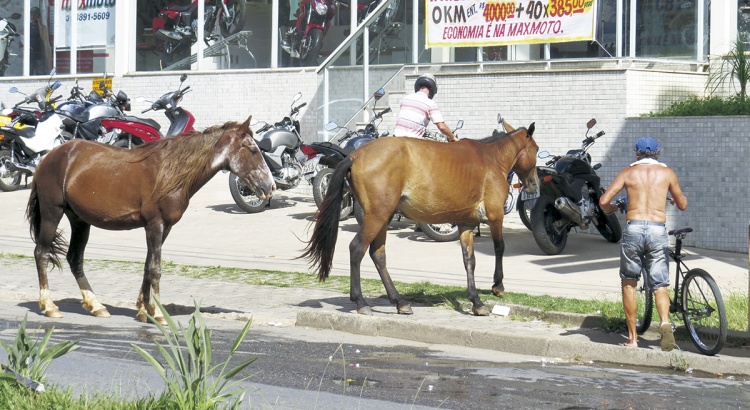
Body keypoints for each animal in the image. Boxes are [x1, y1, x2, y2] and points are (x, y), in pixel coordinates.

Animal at [25, 116, 276, 324]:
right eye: (253, 150)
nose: (270, 187)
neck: (170, 172)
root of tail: (49, 157)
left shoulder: (164, 228)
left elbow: (147, 265)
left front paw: (144, 310)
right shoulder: (155, 225)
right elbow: (155, 268)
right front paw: (157, 313)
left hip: (79, 220)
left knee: (74, 259)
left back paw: (96, 306)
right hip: (52, 213)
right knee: (41, 253)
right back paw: (49, 306)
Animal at [302, 125, 540, 318]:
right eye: (536, 150)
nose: (534, 183)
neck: (491, 158)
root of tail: (355, 156)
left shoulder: (465, 224)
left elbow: (469, 260)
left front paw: (475, 301)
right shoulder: (495, 215)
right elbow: (499, 248)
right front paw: (497, 286)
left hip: (382, 217)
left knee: (378, 255)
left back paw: (399, 301)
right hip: (377, 216)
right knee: (357, 248)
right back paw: (361, 301)